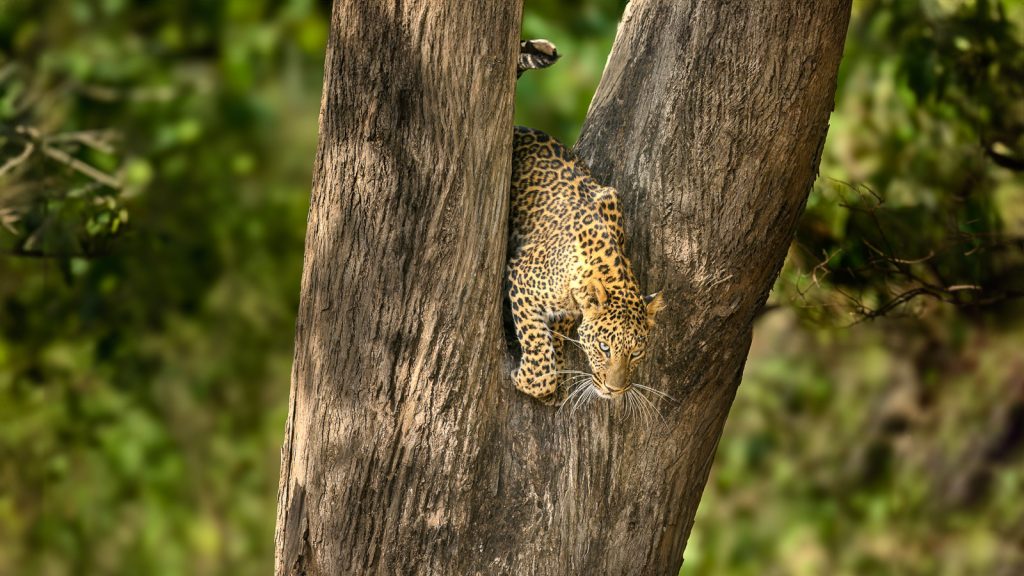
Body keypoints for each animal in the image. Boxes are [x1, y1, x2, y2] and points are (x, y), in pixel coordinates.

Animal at [507, 39, 667, 403]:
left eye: (636, 352)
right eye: (605, 348)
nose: (614, 389)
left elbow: (560, 331)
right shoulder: (521, 278)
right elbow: (537, 346)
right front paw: (529, 379)